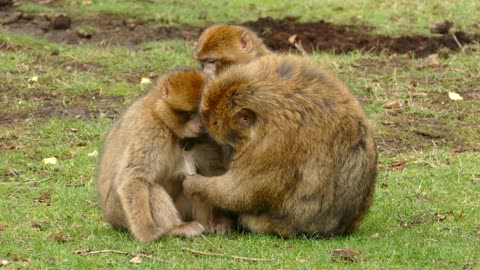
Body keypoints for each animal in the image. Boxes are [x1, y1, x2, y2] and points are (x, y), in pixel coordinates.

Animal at [97, 69, 229, 243]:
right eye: (189, 113)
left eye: (202, 113)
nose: (201, 125)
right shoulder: (149, 131)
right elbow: (133, 178)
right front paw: (146, 232)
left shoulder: (206, 139)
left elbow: (211, 172)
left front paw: (221, 219)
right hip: (119, 213)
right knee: (150, 186)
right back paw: (176, 228)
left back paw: (208, 224)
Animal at [184, 55, 378, 238]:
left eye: (215, 122)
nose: (203, 125)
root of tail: (343, 228)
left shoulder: (272, 145)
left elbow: (242, 192)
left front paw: (195, 184)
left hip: (283, 225)